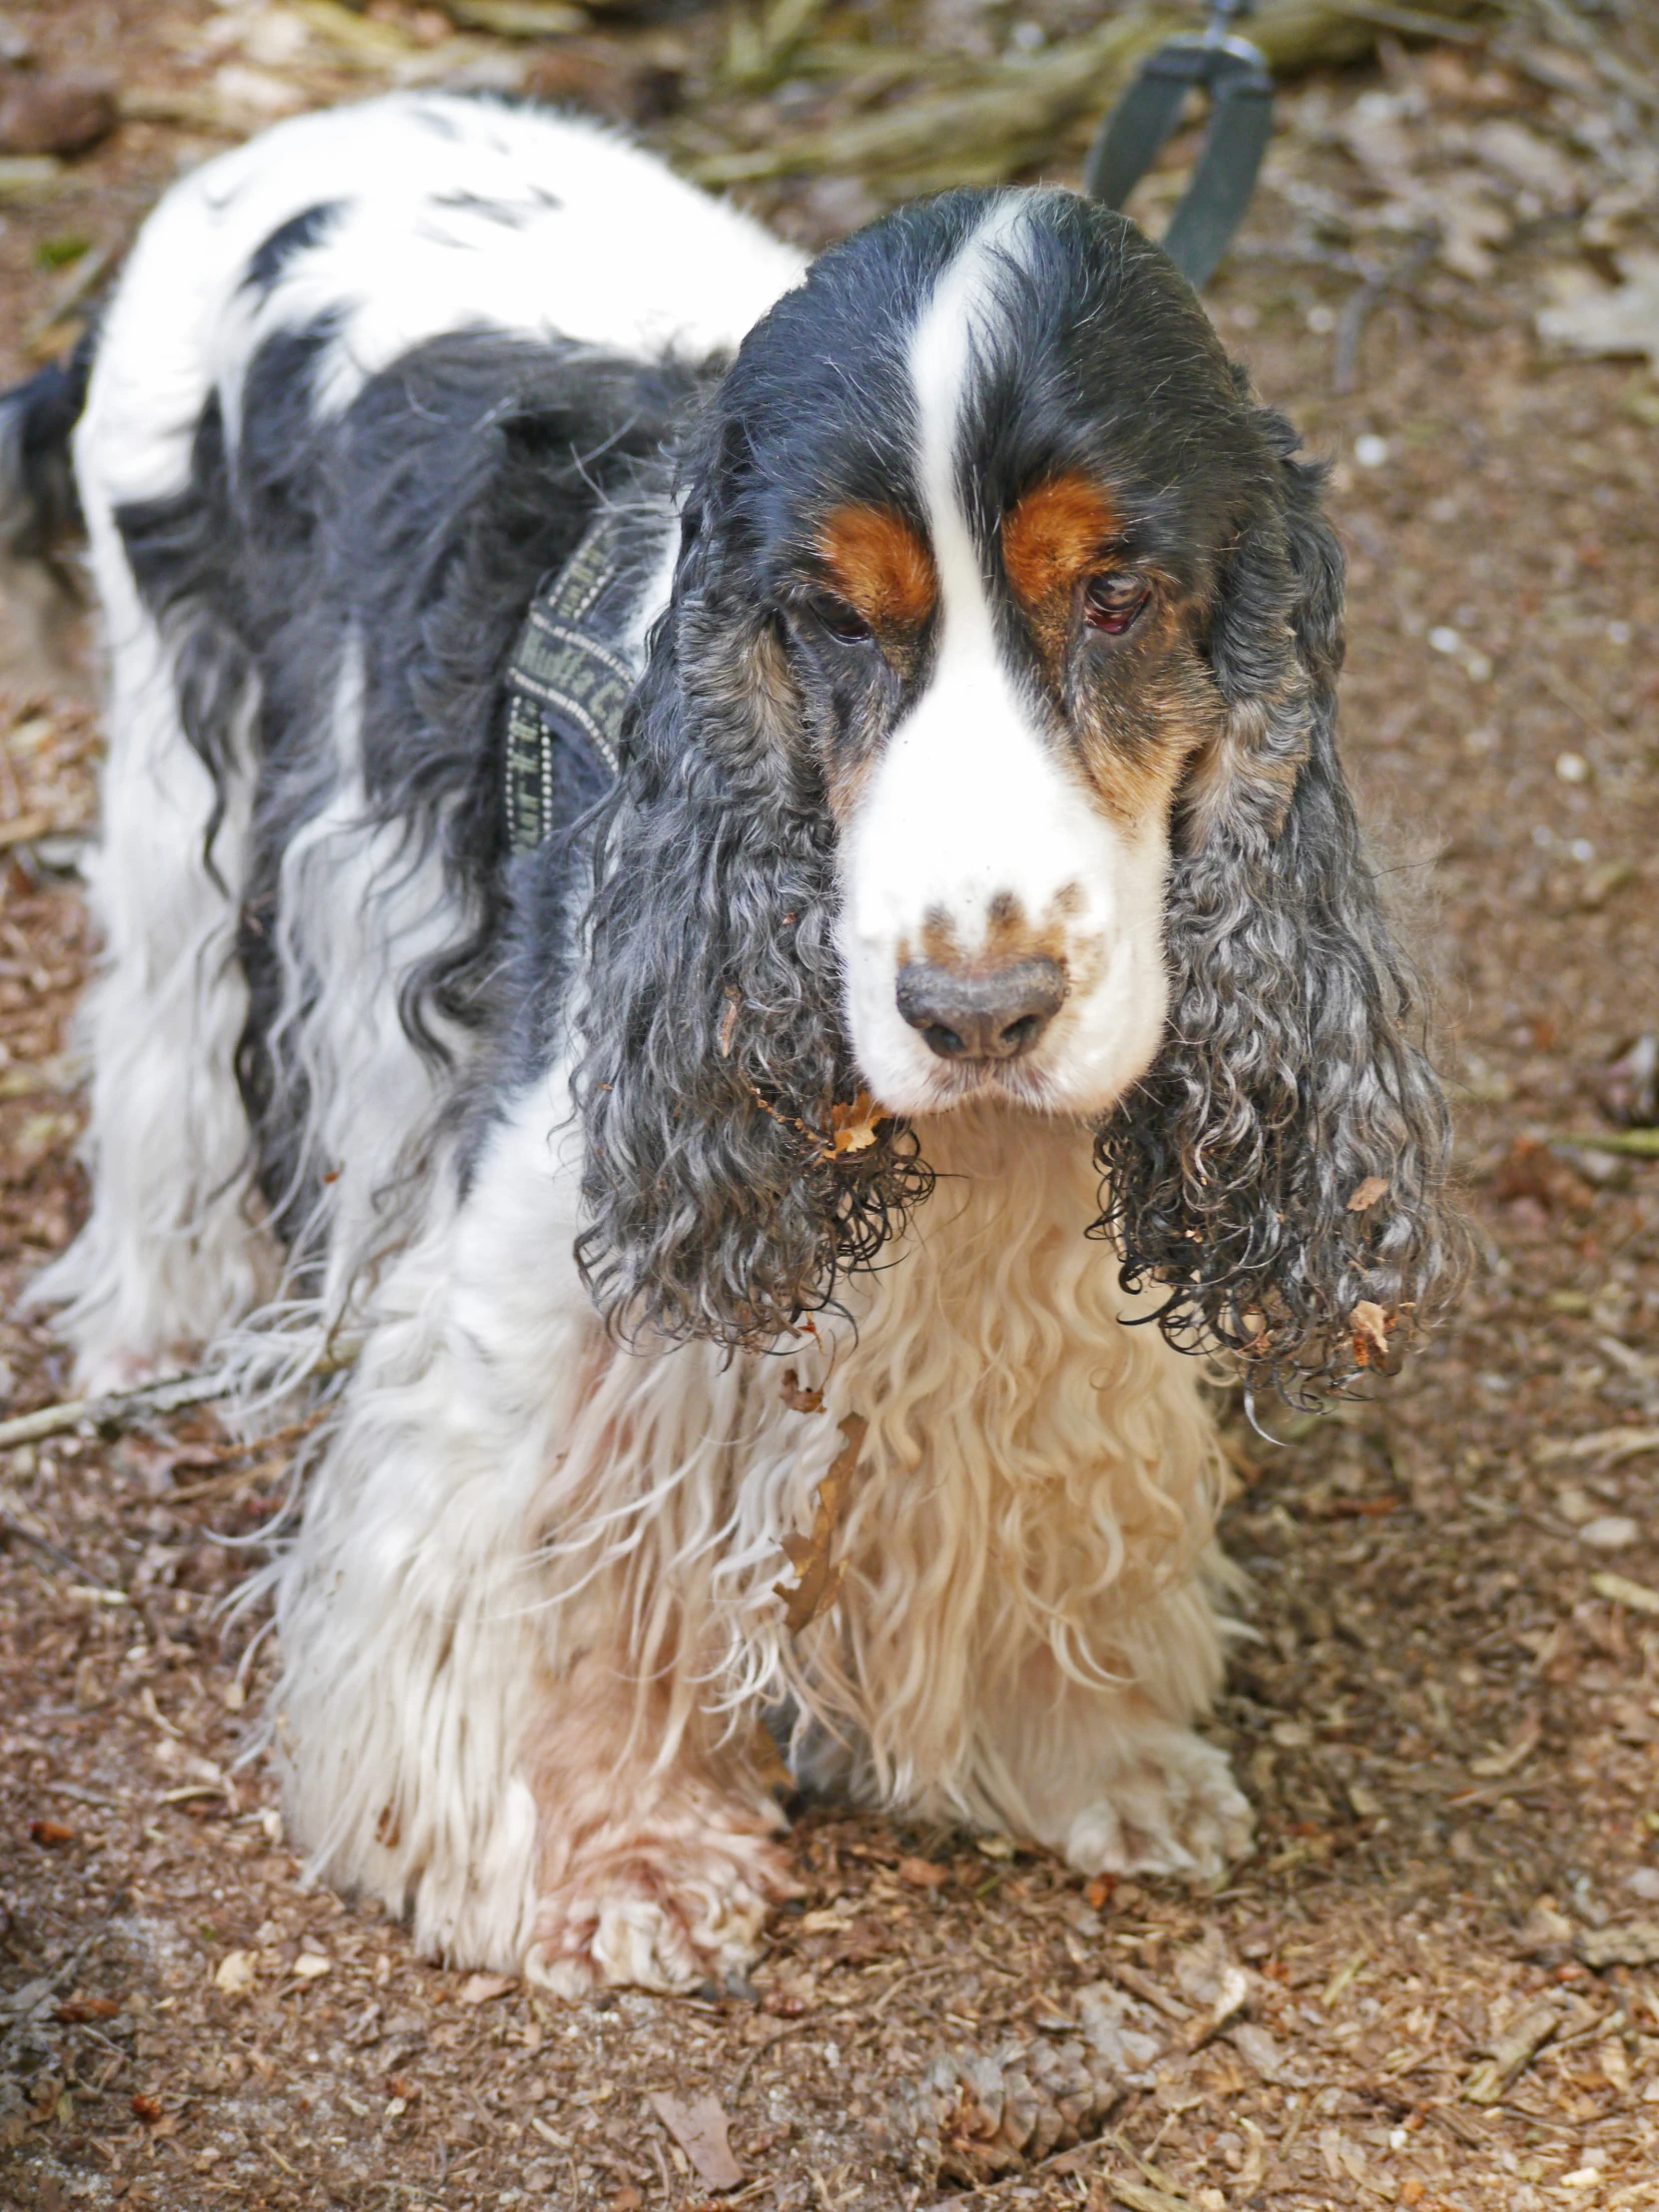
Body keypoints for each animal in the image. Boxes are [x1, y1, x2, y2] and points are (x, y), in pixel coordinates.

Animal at [0, 90, 1459, 1990]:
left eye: (1117, 597)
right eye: (830, 618)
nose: (975, 1014)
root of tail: (293, 134)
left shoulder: (1036, 1278)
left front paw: (1089, 1762)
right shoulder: (552, 1266)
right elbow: (531, 1543)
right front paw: (597, 1863)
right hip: (194, 751)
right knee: (168, 1043)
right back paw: (155, 1328)